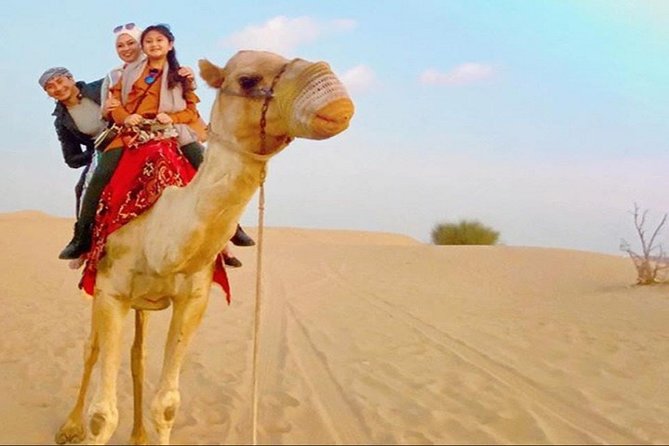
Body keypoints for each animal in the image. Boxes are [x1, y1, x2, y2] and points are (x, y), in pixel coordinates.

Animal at [54, 50, 354, 445]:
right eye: (247, 79)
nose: (338, 102)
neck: (158, 227)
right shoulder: (110, 292)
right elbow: (102, 415)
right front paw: (83, 424)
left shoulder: (194, 298)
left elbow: (166, 405)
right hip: (98, 283)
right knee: (92, 349)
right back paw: (69, 427)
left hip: (143, 303)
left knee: (137, 354)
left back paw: (138, 435)